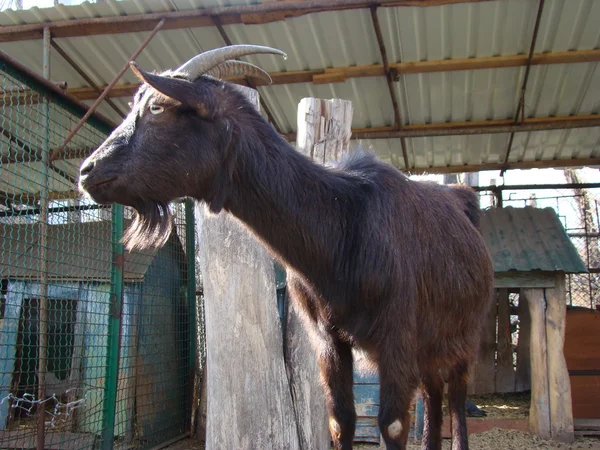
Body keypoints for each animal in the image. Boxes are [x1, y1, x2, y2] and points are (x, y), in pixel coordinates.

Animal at [77, 44, 494, 450]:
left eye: (157, 107)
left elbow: (391, 426)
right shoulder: (327, 339)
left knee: (456, 397)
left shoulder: (397, 334)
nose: (87, 171)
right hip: (430, 344)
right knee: (433, 394)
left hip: (466, 332)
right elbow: (340, 421)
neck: (344, 227)